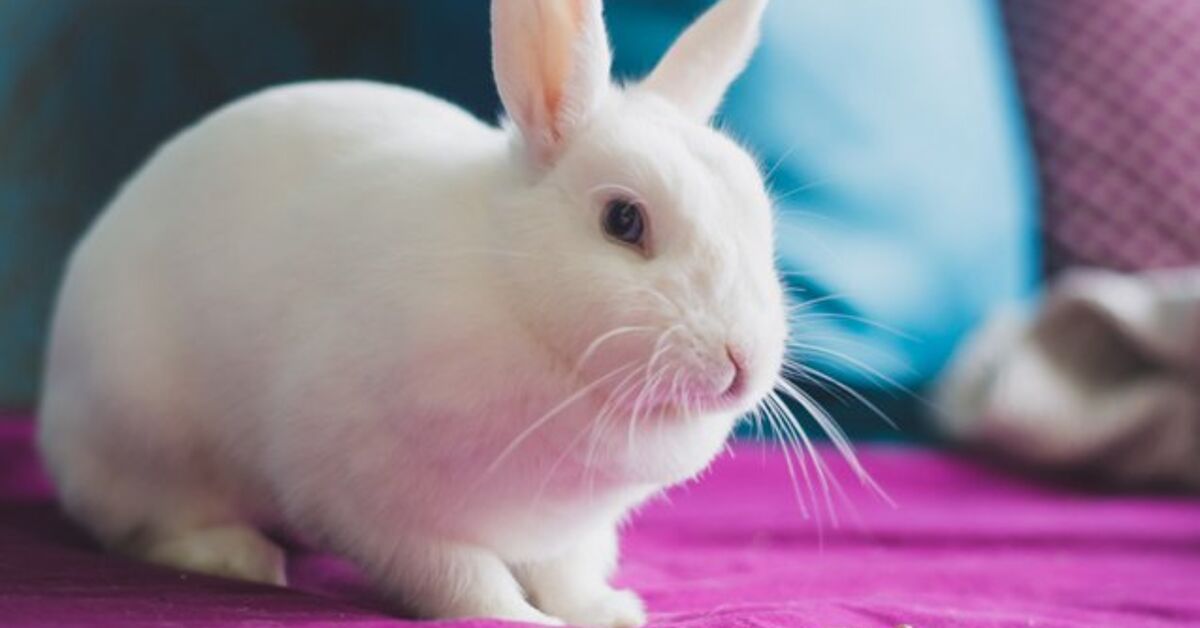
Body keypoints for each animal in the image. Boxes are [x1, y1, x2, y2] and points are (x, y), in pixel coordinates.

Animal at [36, 0, 783, 625]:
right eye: (624, 221)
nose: (741, 362)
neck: (514, 292)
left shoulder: (568, 532)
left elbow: (567, 576)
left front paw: (608, 612)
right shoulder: (379, 506)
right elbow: (463, 579)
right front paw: (520, 618)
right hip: (143, 430)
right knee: (145, 522)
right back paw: (236, 556)